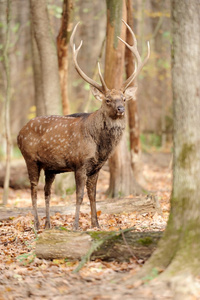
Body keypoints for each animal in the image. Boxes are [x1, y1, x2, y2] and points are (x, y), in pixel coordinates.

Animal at [17, 20, 150, 230]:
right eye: (107, 100)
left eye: (124, 98)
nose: (121, 109)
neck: (100, 147)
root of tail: (18, 133)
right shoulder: (79, 163)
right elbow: (79, 196)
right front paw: (76, 226)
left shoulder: (96, 167)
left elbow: (93, 196)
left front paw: (96, 224)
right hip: (30, 158)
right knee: (33, 190)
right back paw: (37, 225)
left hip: (50, 167)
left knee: (47, 191)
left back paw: (48, 225)